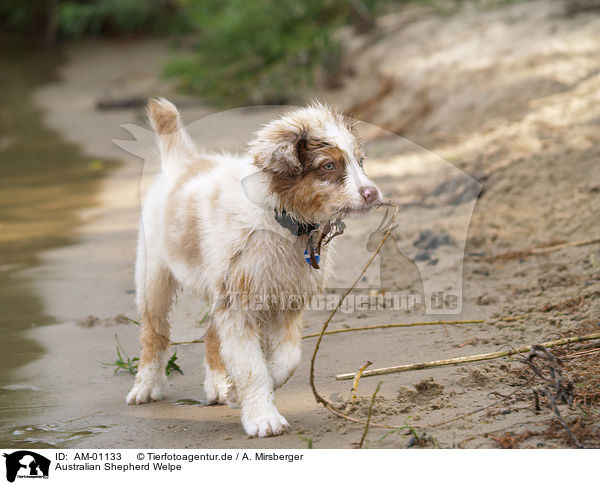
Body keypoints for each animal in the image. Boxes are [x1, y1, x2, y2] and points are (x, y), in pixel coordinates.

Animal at [126, 97, 382, 434]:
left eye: (360, 162)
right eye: (329, 166)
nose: (373, 194)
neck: (282, 220)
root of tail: (182, 163)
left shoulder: (286, 302)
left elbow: (287, 359)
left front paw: (239, 394)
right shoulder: (238, 304)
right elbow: (251, 367)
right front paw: (263, 418)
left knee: (211, 334)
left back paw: (218, 387)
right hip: (154, 275)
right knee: (154, 335)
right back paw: (144, 387)